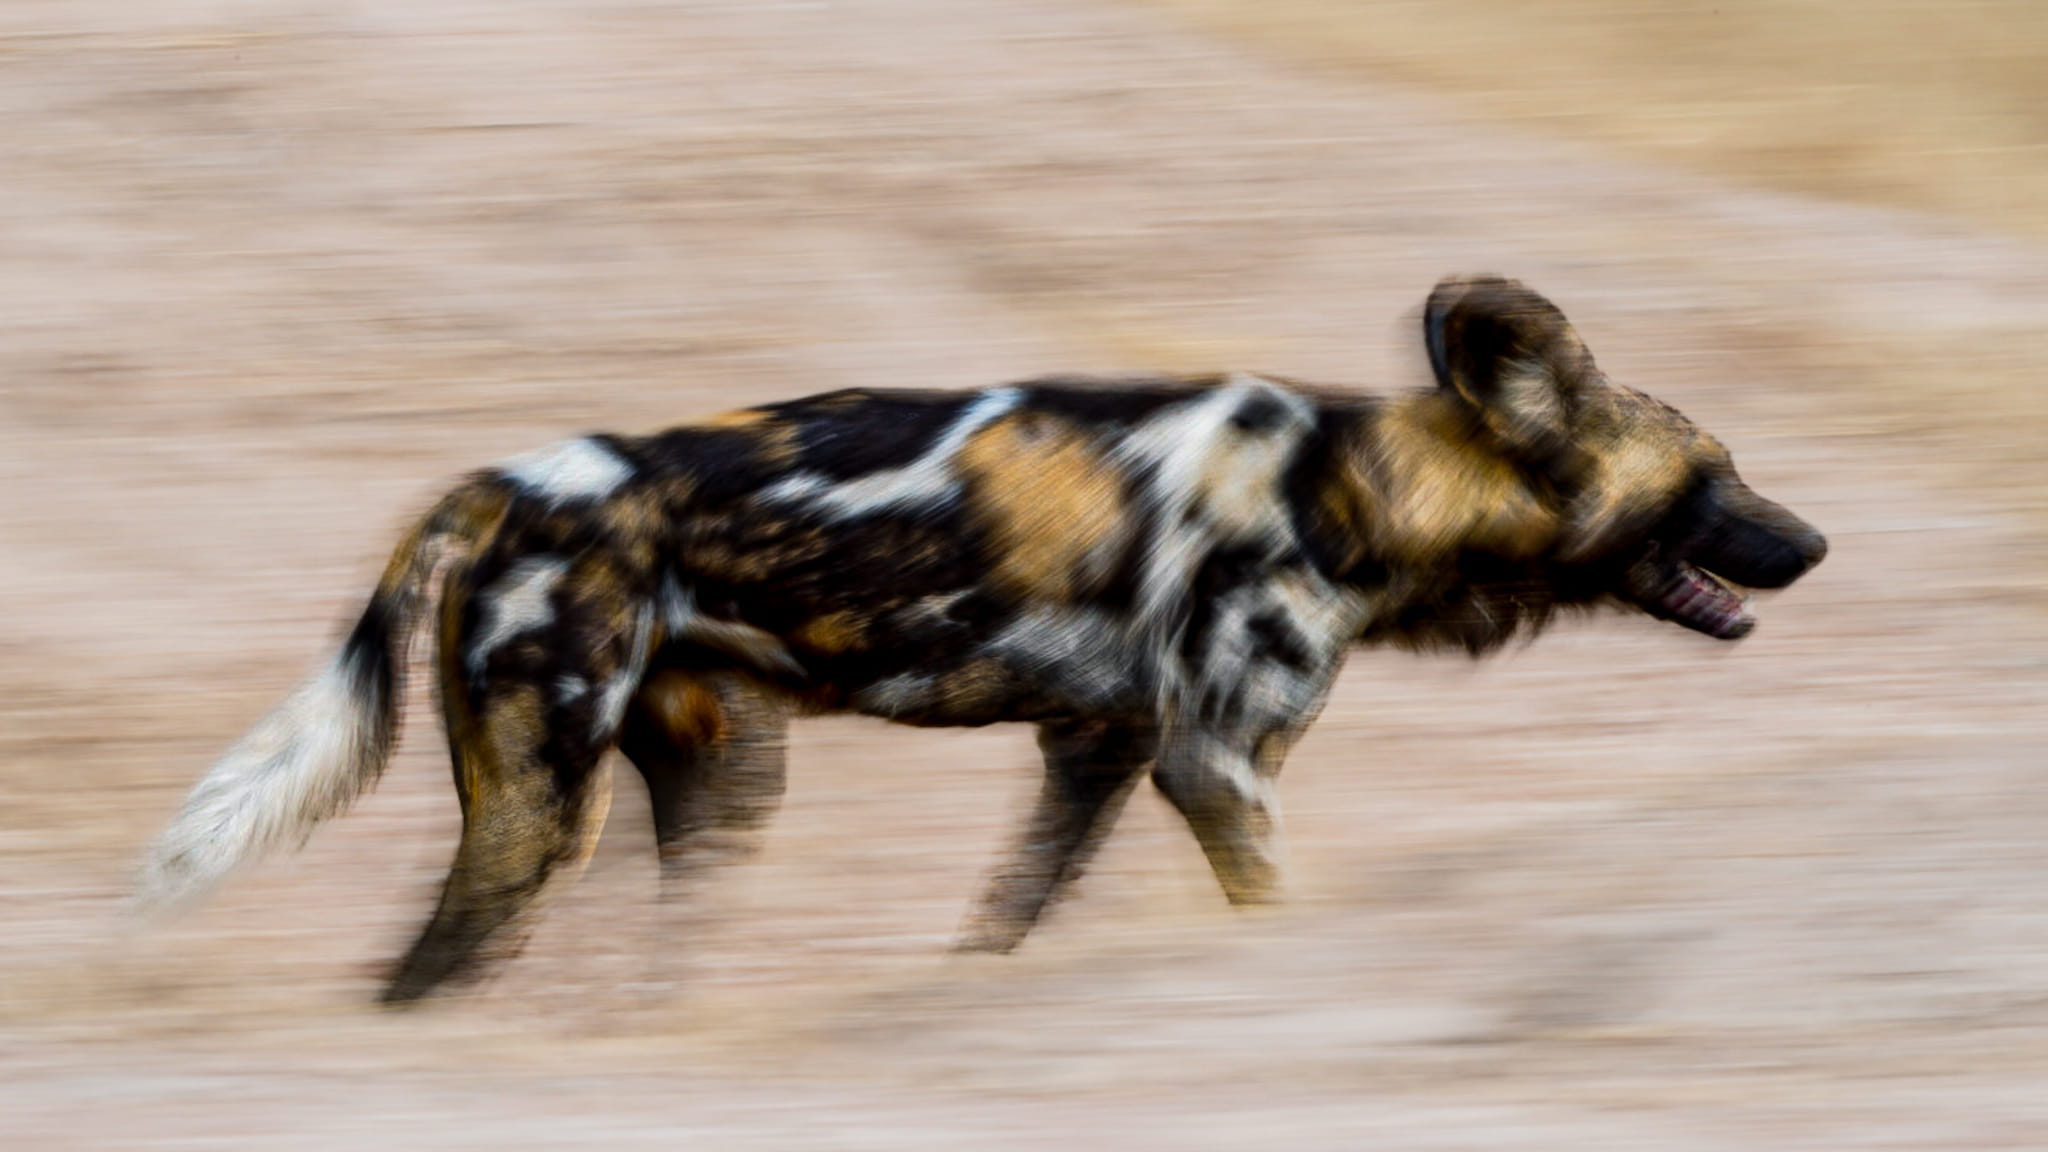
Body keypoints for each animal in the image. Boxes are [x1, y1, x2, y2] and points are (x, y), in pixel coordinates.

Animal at [136, 276, 1826, 996]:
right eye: (1719, 478)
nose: (1814, 544)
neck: (1352, 484)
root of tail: (503, 478)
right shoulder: (1216, 768)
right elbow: (1275, 911)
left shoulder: (1095, 755)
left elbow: (999, 932)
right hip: (541, 805)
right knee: (425, 966)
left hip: (717, 787)